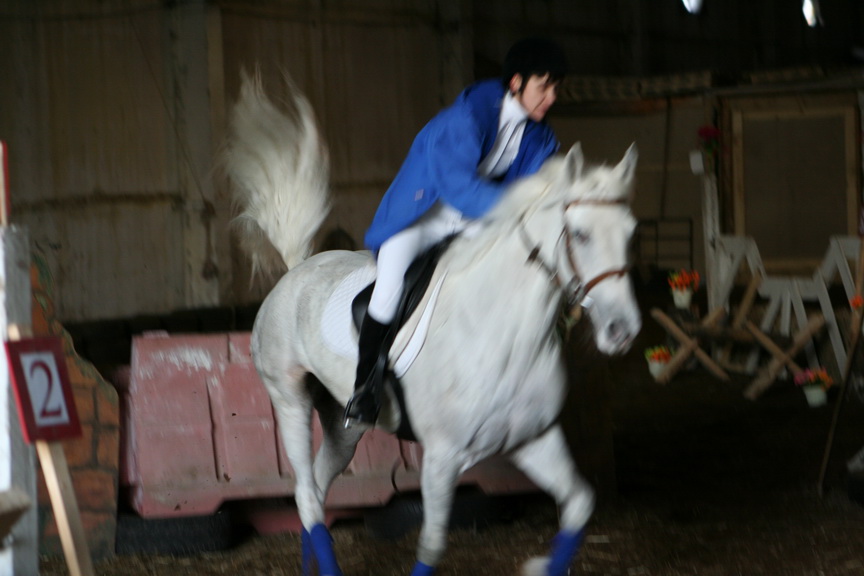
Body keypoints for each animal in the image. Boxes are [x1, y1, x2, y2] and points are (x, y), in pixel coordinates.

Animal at [220, 70, 641, 576]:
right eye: (579, 234)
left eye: (632, 232)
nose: (622, 330)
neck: (504, 334)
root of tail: (295, 271)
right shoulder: (443, 457)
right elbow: (433, 544)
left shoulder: (533, 439)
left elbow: (579, 505)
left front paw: (540, 565)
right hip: (290, 400)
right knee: (304, 492)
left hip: (345, 424)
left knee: (316, 491)